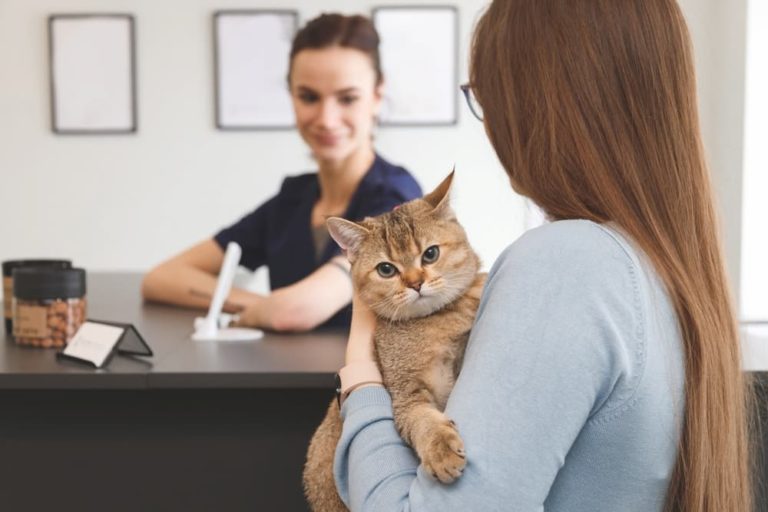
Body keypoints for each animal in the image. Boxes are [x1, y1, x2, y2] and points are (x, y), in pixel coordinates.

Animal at [304, 173, 484, 512]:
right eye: (386, 269)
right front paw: (441, 450)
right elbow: (423, 420)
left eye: (430, 254)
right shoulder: (404, 395)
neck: (436, 321)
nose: (416, 283)